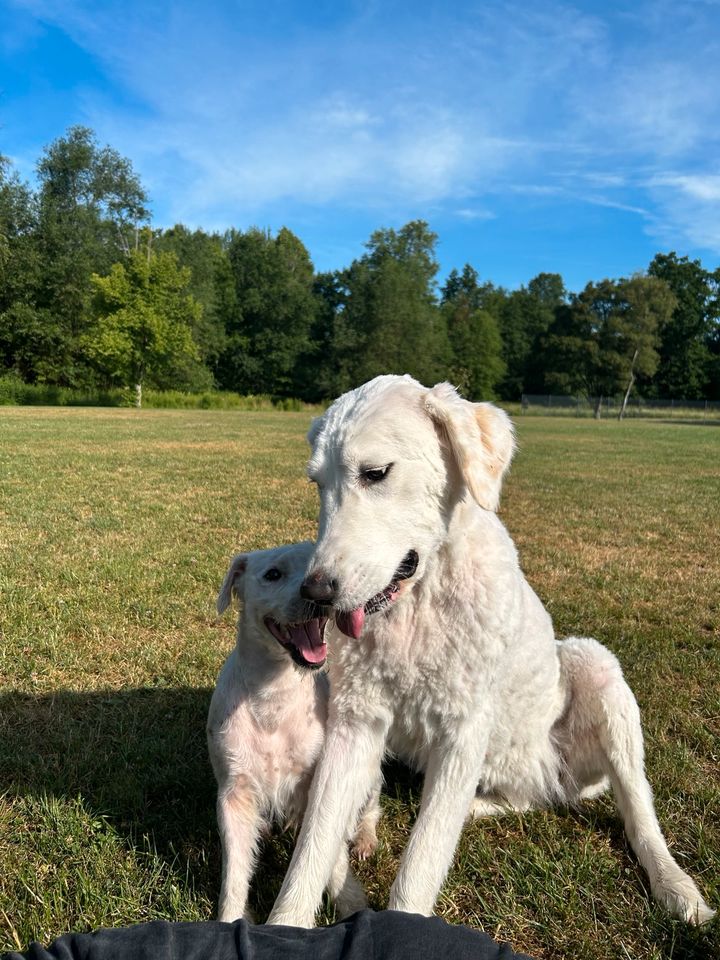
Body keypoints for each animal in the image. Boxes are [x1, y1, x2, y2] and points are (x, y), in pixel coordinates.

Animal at [205, 540, 380, 924]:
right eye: (273, 574)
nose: (319, 593)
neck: (274, 693)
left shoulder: (321, 782)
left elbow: (329, 851)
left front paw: (349, 901)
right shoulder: (234, 794)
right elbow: (234, 873)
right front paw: (231, 919)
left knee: (369, 808)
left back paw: (364, 839)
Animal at [268, 376, 716, 928]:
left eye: (375, 473)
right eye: (318, 484)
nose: (317, 593)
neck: (420, 604)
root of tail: (549, 779)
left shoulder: (462, 731)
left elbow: (420, 863)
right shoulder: (356, 722)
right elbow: (313, 844)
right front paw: (284, 925)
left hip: (595, 669)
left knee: (637, 808)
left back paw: (675, 885)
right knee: (520, 801)